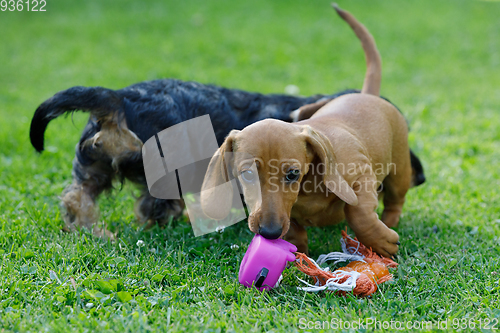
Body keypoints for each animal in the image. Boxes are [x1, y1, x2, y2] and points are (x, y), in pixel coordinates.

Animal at [29, 78, 360, 233]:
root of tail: (120, 99)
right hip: (165, 174)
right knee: (154, 207)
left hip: (94, 163)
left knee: (78, 196)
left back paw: (92, 231)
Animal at [201, 4, 420, 256]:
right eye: (247, 174)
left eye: (293, 174)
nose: (269, 233)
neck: (307, 187)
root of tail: (367, 94)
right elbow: (295, 229)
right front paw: (298, 252)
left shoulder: (361, 174)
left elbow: (358, 213)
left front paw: (382, 241)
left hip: (399, 170)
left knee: (395, 200)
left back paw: (390, 222)